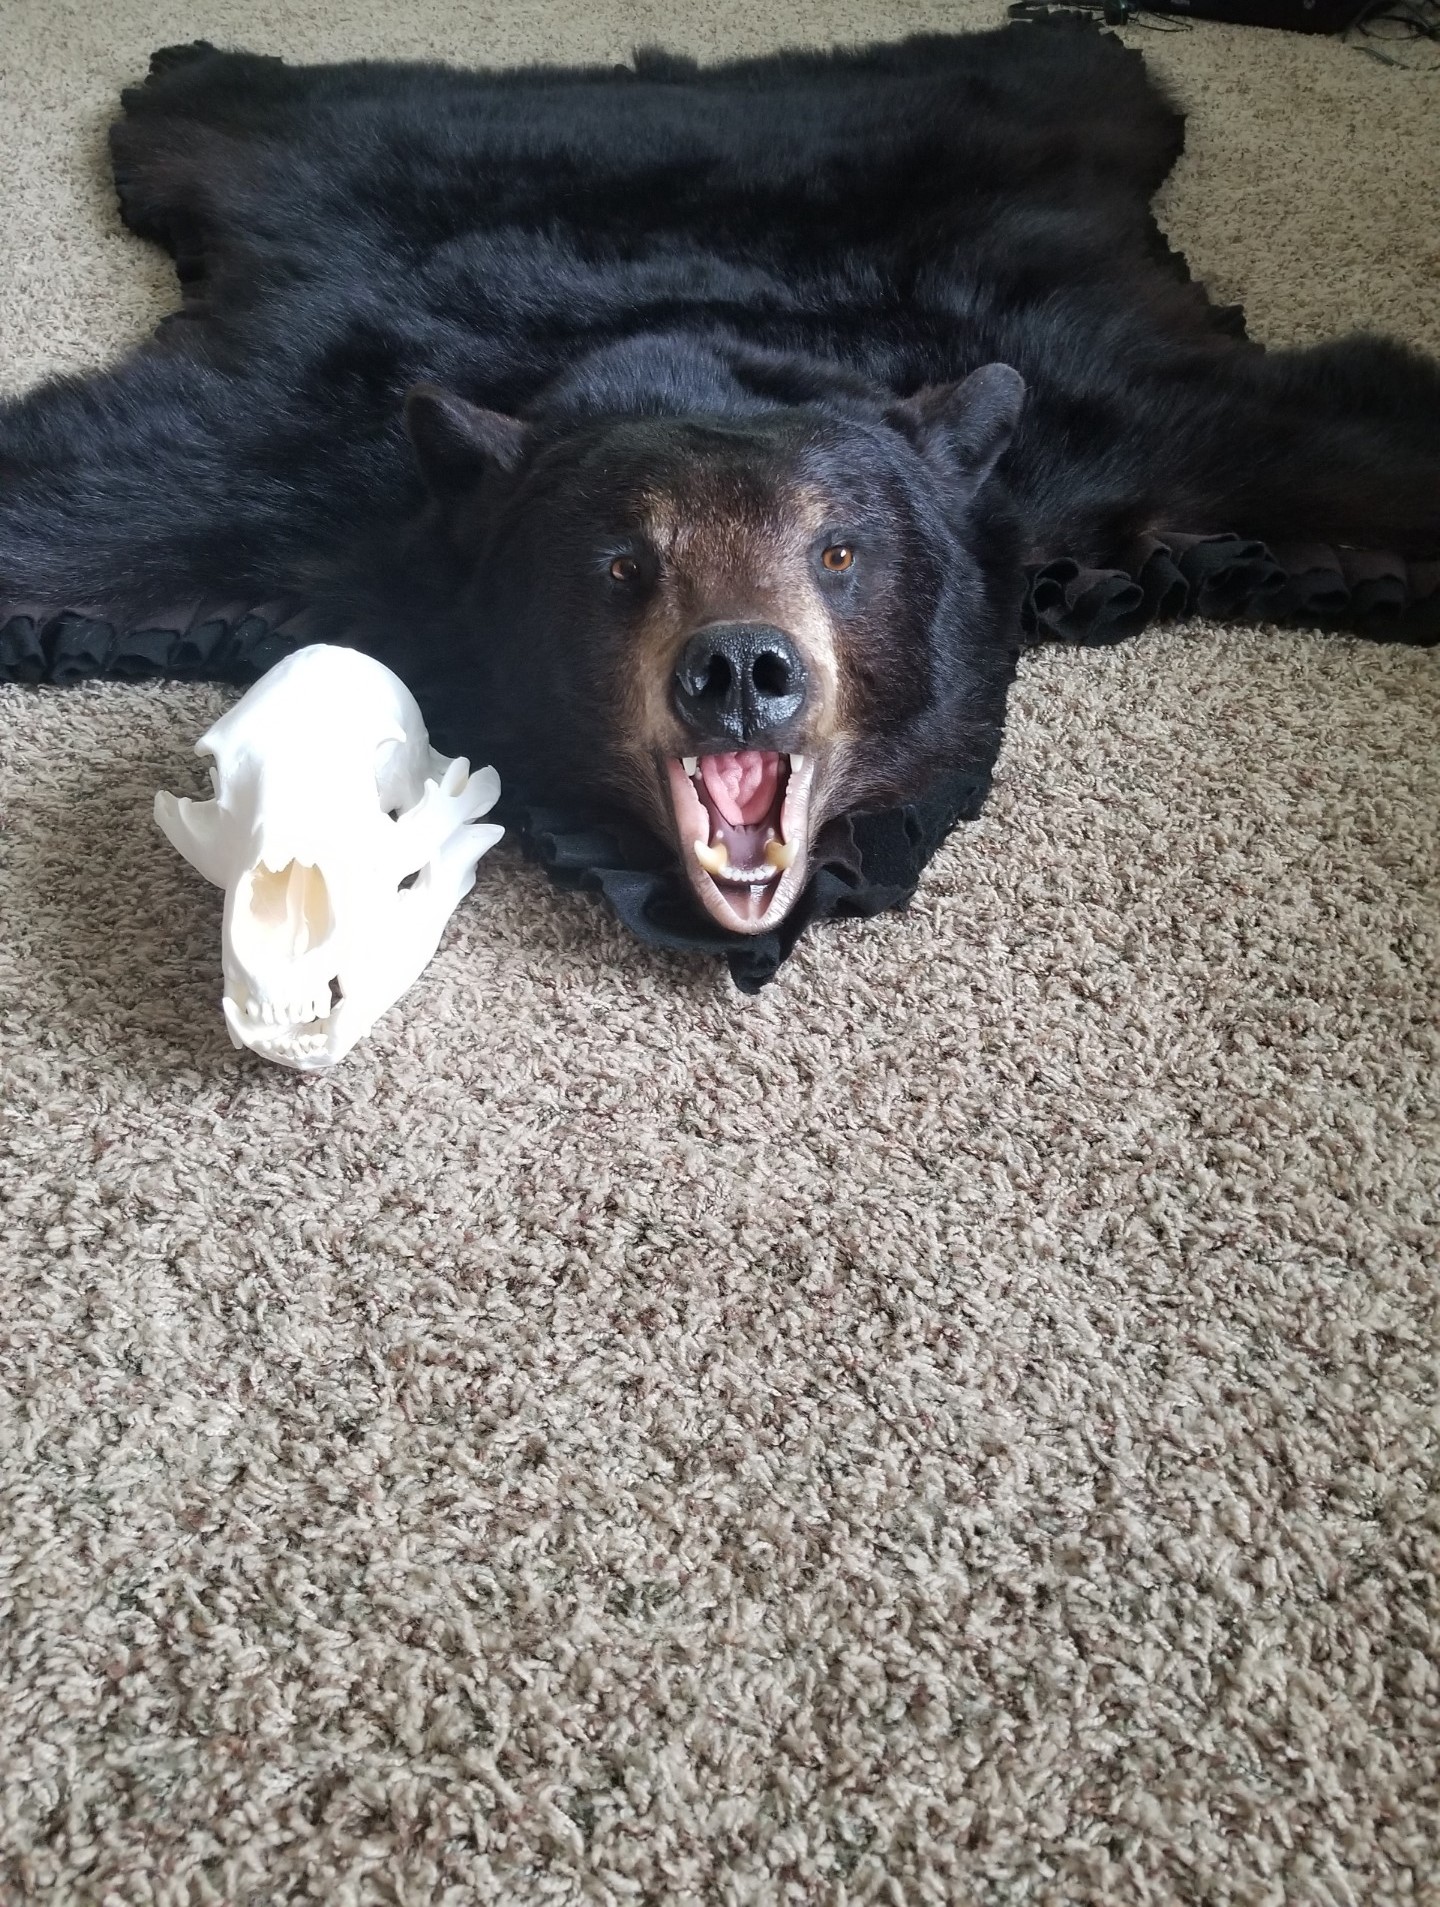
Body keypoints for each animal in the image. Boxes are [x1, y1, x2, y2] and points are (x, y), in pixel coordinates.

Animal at [1, 18, 1437, 985]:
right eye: (622, 562)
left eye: (841, 550)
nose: (742, 668)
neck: (701, 340)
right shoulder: (312, 473)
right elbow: (96, 495)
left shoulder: (1108, 435)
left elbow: (1337, 443)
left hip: (1046, 122)